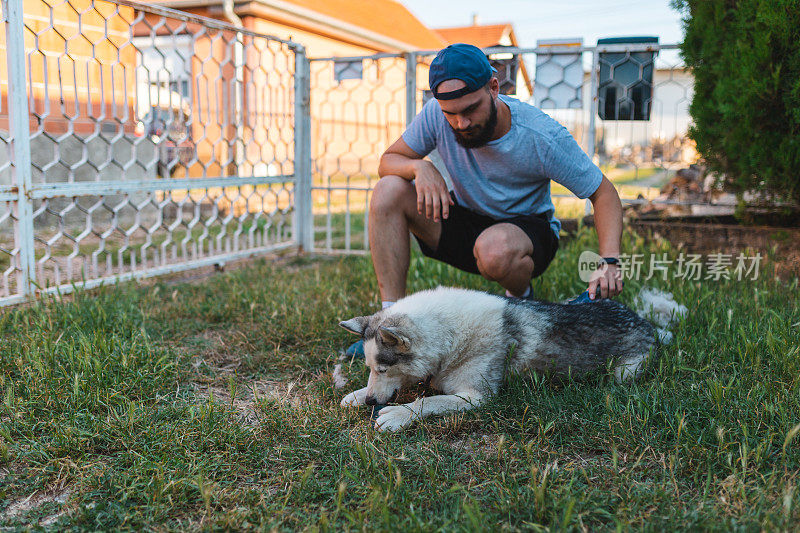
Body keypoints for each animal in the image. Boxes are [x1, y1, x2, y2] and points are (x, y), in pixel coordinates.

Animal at [336, 284, 680, 430]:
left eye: (383, 369)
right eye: (370, 368)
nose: (370, 402)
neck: (450, 337)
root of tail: (645, 323)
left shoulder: (476, 398)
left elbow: (426, 402)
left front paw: (397, 415)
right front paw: (356, 394)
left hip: (624, 373)